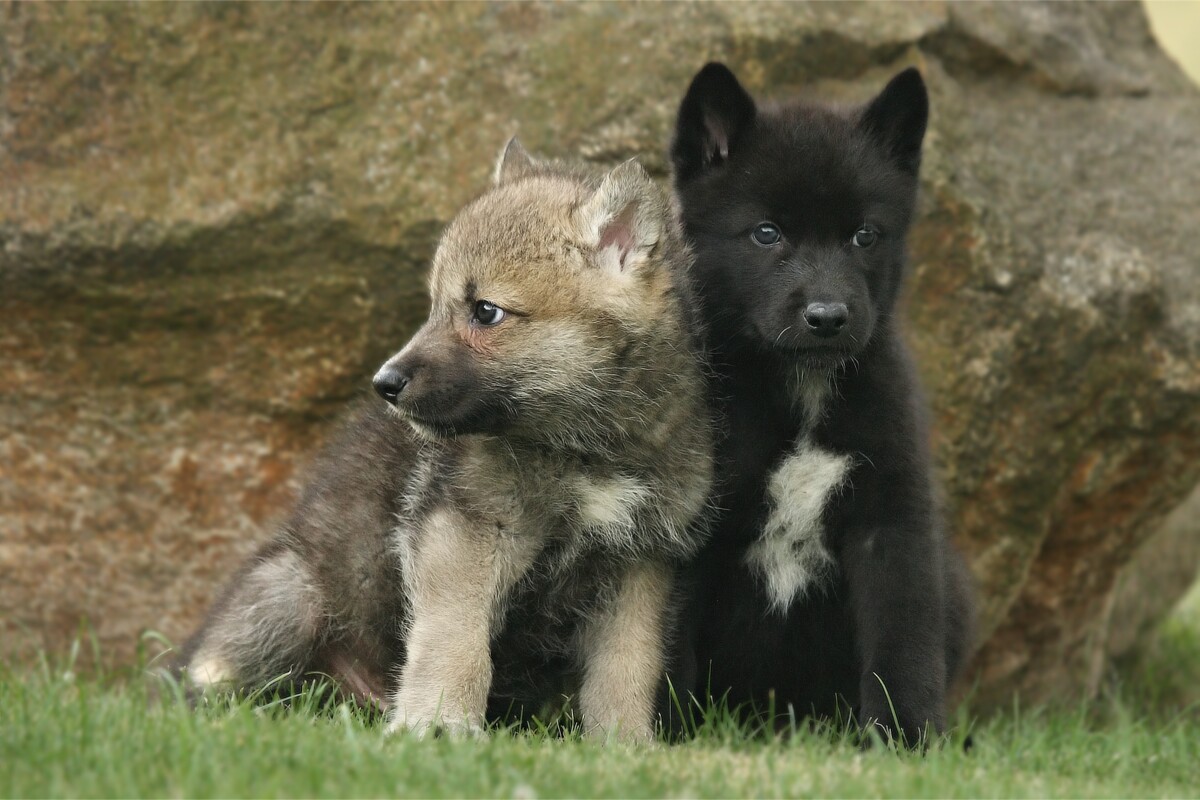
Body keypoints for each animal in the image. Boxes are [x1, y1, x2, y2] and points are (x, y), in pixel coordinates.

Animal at [171, 139, 710, 743]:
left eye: (485, 311)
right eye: (434, 305)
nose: (384, 383)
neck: (587, 447)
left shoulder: (639, 563)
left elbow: (626, 671)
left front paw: (624, 745)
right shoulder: (464, 530)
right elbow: (456, 640)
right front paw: (438, 724)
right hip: (288, 596)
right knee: (211, 679)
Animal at [672, 65, 979, 748]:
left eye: (864, 235)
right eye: (766, 233)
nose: (828, 317)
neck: (803, 392)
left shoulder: (892, 524)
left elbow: (903, 644)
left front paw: (905, 740)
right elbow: (658, 642)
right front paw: (657, 731)